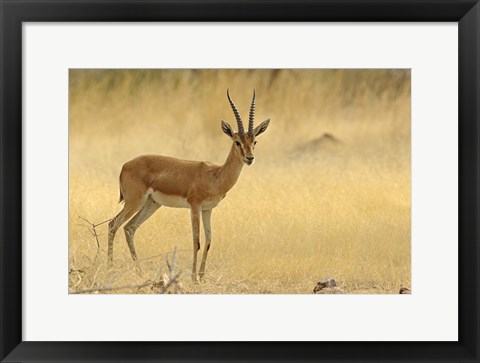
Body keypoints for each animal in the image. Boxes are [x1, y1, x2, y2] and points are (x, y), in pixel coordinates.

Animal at [107, 90, 270, 282]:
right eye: (237, 141)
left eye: (254, 142)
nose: (250, 158)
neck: (215, 176)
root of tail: (125, 165)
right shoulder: (195, 206)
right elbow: (196, 240)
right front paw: (193, 277)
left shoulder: (208, 209)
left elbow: (208, 240)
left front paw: (201, 276)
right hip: (135, 202)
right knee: (113, 224)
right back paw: (109, 268)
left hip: (151, 204)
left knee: (129, 228)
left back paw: (139, 271)